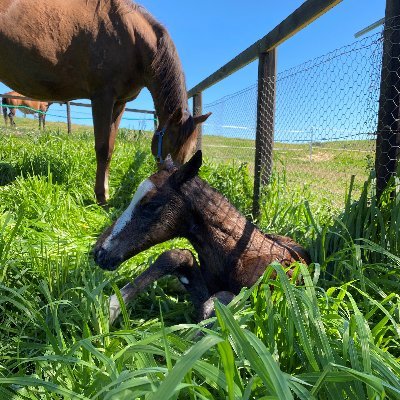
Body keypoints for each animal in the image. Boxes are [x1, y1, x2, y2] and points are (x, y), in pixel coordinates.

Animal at [0, 0, 211, 205]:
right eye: (171, 144)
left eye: (191, 150)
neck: (133, 38)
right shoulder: (102, 98)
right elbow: (102, 148)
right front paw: (101, 197)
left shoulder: (119, 103)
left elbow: (110, 147)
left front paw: (105, 193)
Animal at [94, 152, 310, 324]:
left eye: (151, 205)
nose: (99, 252)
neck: (236, 253)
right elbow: (178, 256)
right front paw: (111, 308)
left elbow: (216, 303)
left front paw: (110, 307)